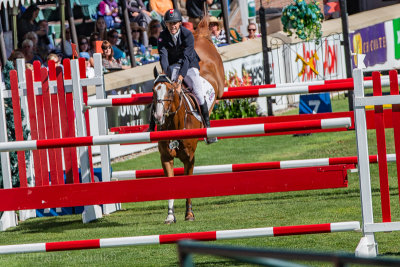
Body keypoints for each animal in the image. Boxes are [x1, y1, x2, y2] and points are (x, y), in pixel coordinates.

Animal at [152, 17, 225, 224]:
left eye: (170, 91)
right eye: (154, 91)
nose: (158, 117)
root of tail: (199, 36)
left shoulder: (189, 158)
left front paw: (189, 214)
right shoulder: (166, 158)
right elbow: (171, 185)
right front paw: (170, 215)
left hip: (218, 82)